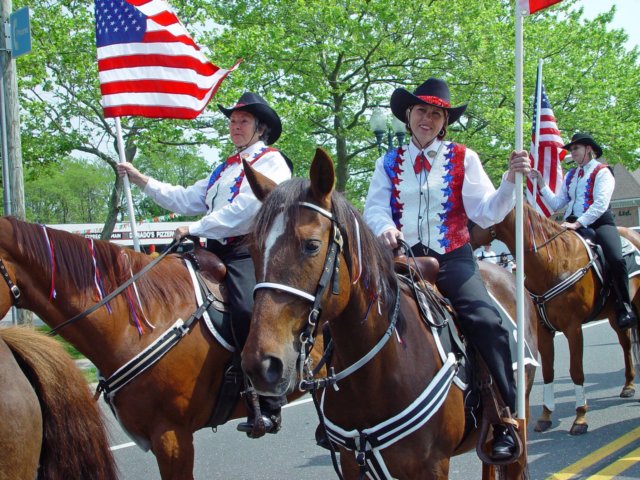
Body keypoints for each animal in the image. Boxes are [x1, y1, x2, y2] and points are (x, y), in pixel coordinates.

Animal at [238, 148, 536, 478]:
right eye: (252, 249)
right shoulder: (351, 463)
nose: (261, 364)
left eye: (312, 245)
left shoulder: (432, 465)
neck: (375, 376)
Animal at [470, 202, 640, 436]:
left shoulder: (573, 328)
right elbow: (548, 371)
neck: (554, 263)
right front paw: (545, 416)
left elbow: (576, 371)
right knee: (625, 344)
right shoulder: (544, 331)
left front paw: (580, 417)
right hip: (614, 313)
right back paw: (628, 385)